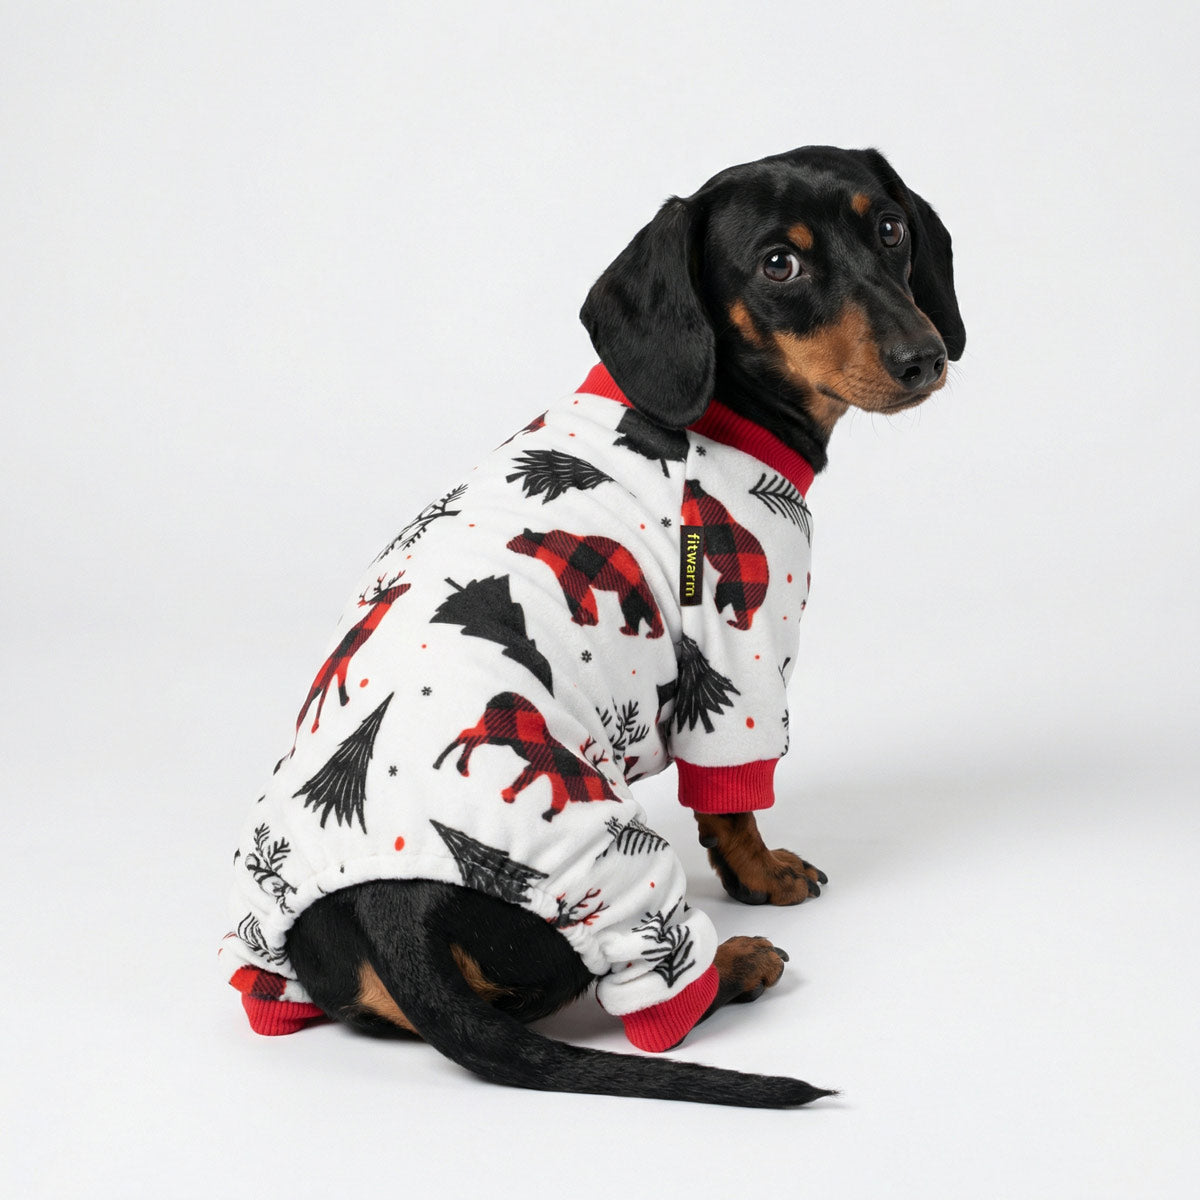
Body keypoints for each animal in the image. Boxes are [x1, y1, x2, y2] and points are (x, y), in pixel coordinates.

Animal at [221, 145, 964, 1109]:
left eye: (891, 228)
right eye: (779, 264)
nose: (925, 357)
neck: (716, 415)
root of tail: (395, 918)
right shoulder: (741, 659)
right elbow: (734, 803)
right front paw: (764, 879)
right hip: (613, 863)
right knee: (651, 1007)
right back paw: (736, 964)